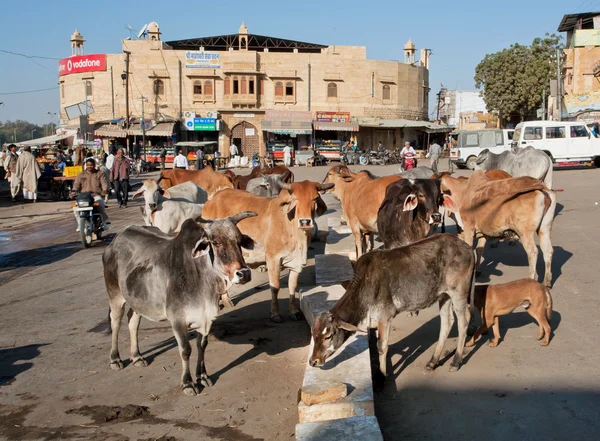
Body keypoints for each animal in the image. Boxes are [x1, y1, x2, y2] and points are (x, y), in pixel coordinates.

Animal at [103, 211, 258, 394]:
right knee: (116, 322)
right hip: (115, 294)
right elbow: (186, 350)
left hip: (137, 299)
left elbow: (202, 345)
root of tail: (116, 239)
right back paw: (115, 359)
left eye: (239, 241)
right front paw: (188, 383)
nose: (244, 273)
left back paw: (137, 356)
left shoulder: (206, 318)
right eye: (215, 242)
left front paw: (202, 377)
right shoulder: (177, 320)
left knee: (133, 320)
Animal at [202, 180, 332, 322]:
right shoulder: (273, 259)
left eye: (315, 198)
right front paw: (275, 314)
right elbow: (275, 287)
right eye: (295, 198)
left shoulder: (296, 262)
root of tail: (212, 199)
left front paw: (294, 311)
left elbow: (292, 286)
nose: (305, 221)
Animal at [310, 234, 474, 374]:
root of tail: (466, 247)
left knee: (464, 321)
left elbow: (382, 347)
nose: (313, 361)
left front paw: (383, 374)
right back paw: (432, 362)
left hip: (458, 292)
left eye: (328, 336)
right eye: (313, 335)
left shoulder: (385, 317)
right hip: (444, 295)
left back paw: (455, 362)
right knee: (447, 322)